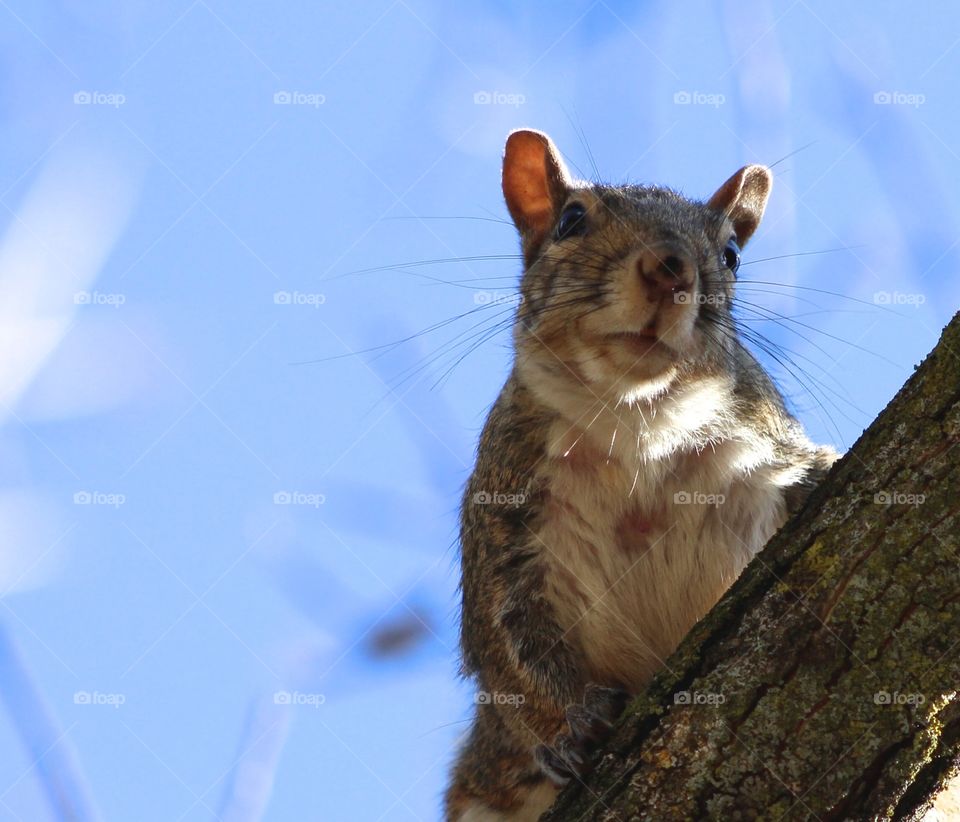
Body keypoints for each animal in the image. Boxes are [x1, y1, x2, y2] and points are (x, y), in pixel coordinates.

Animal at [444, 130, 840, 822]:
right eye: (571, 221)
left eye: (731, 255)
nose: (669, 268)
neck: (636, 418)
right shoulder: (501, 518)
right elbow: (508, 651)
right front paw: (572, 726)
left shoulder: (769, 455)